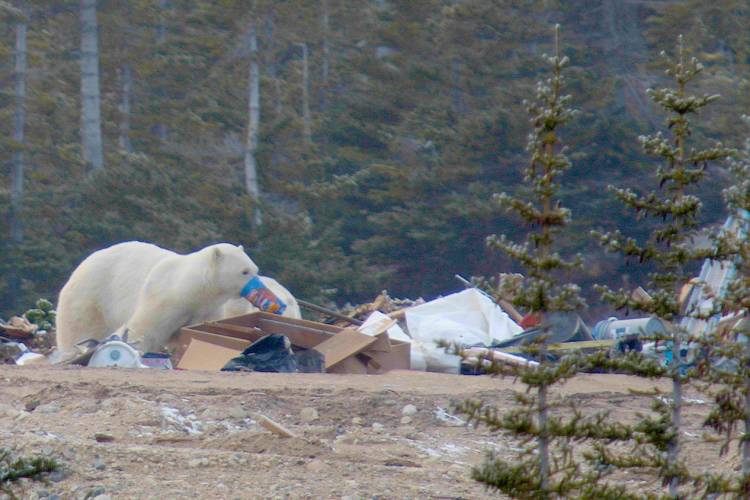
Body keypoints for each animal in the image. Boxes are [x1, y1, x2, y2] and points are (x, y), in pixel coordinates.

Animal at [55, 241, 282, 352]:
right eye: (244, 271)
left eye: (255, 268)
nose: (260, 288)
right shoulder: (162, 297)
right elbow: (144, 328)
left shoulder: (207, 309)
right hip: (90, 297)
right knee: (79, 328)